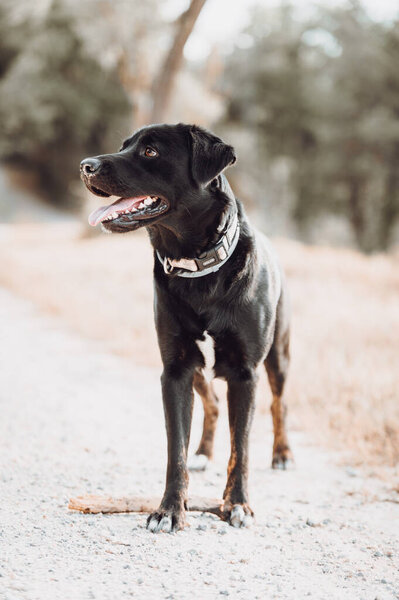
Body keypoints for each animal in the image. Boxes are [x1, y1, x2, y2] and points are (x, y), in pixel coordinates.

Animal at [81, 120, 294, 528]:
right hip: (196, 367)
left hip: (278, 355)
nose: (85, 166)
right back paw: (203, 453)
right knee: (211, 403)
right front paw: (168, 510)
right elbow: (175, 449)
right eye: (124, 145)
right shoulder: (176, 368)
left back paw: (283, 454)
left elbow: (241, 449)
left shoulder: (245, 372)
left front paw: (237, 504)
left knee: (279, 404)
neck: (199, 269)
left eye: (150, 151)